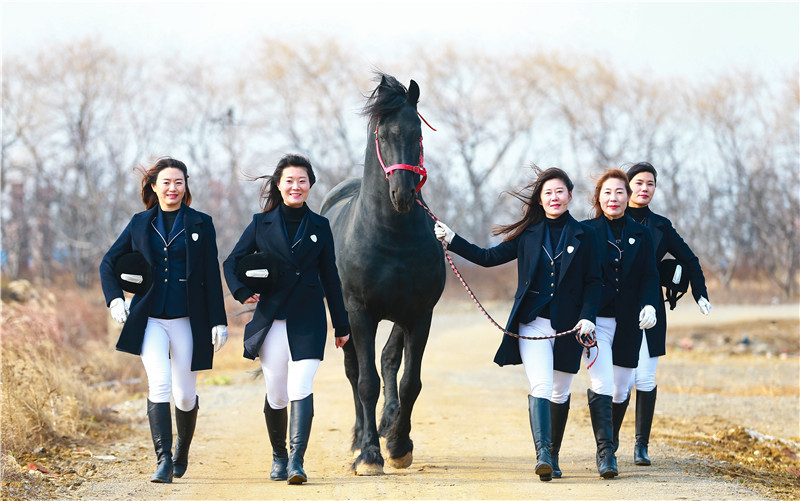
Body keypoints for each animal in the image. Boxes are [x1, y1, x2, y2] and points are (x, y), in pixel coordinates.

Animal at [320, 74, 446, 475]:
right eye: (382, 135)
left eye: (417, 132)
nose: (402, 194)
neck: (392, 238)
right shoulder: (360, 313)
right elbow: (365, 383)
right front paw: (369, 455)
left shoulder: (420, 315)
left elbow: (408, 381)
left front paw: (399, 446)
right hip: (344, 318)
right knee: (354, 372)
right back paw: (361, 437)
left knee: (389, 361)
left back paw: (387, 426)